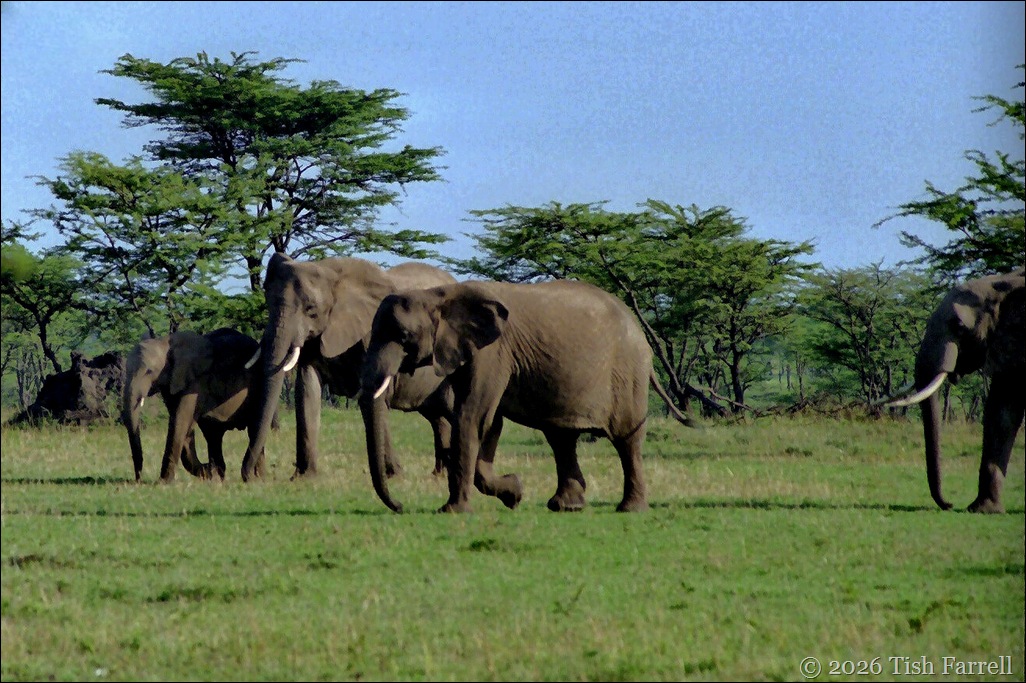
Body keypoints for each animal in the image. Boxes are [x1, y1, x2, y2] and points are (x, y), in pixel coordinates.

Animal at [123, 327, 268, 482]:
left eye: (149, 371)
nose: (138, 479)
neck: (164, 343)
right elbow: (181, 422)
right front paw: (207, 472)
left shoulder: (195, 382)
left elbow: (180, 421)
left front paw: (163, 482)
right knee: (213, 434)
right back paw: (218, 476)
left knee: (254, 428)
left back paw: (257, 478)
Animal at [239, 253, 457, 484]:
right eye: (268, 303)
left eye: (311, 310)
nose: (252, 476)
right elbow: (307, 390)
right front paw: (304, 478)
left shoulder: (372, 332)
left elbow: (374, 397)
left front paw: (395, 477)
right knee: (438, 418)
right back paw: (439, 475)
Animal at [360, 279, 698, 514]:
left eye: (404, 337)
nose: (400, 506)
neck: (438, 294)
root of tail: (642, 333)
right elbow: (490, 422)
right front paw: (514, 494)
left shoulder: (493, 352)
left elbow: (473, 416)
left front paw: (452, 511)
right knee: (561, 439)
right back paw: (566, 507)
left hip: (627, 374)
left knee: (626, 440)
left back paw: (629, 509)